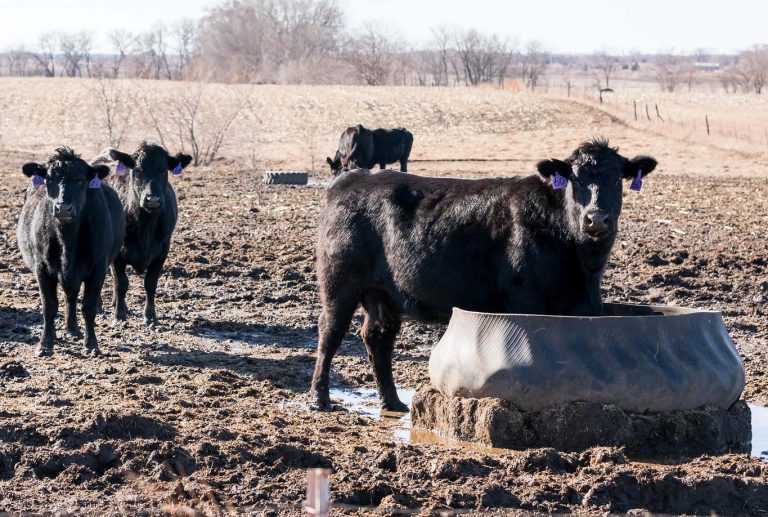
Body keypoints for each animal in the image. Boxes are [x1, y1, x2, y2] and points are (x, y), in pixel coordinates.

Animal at [17, 147, 126, 357]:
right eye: (49, 180)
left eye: (81, 181)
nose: (63, 208)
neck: (68, 241)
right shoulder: (41, 268)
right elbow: (49, 306)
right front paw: (45, 344)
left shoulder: (98, 269)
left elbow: (88, 306)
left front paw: (91, 344)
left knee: (72, 297)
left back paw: (73, 330)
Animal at [91, 142, 192, 325]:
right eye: (138, 170)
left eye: (163, 170)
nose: (152, 200)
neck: (145, 225)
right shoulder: (118, 254)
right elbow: (121, 283)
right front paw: (119, 315)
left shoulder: (162, 251)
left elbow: (150, 283)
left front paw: (150, 316)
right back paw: (99, 305)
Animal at [311, 138, 658, 412]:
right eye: (575, 179)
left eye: (618, 178)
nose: (596, 219)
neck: (583, 267)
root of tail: (353, 178)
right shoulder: (527, 303)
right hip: (339, 282)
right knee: (330, 332)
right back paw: (320, 400)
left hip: (383, 293)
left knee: (377, 337)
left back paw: (393, 402)